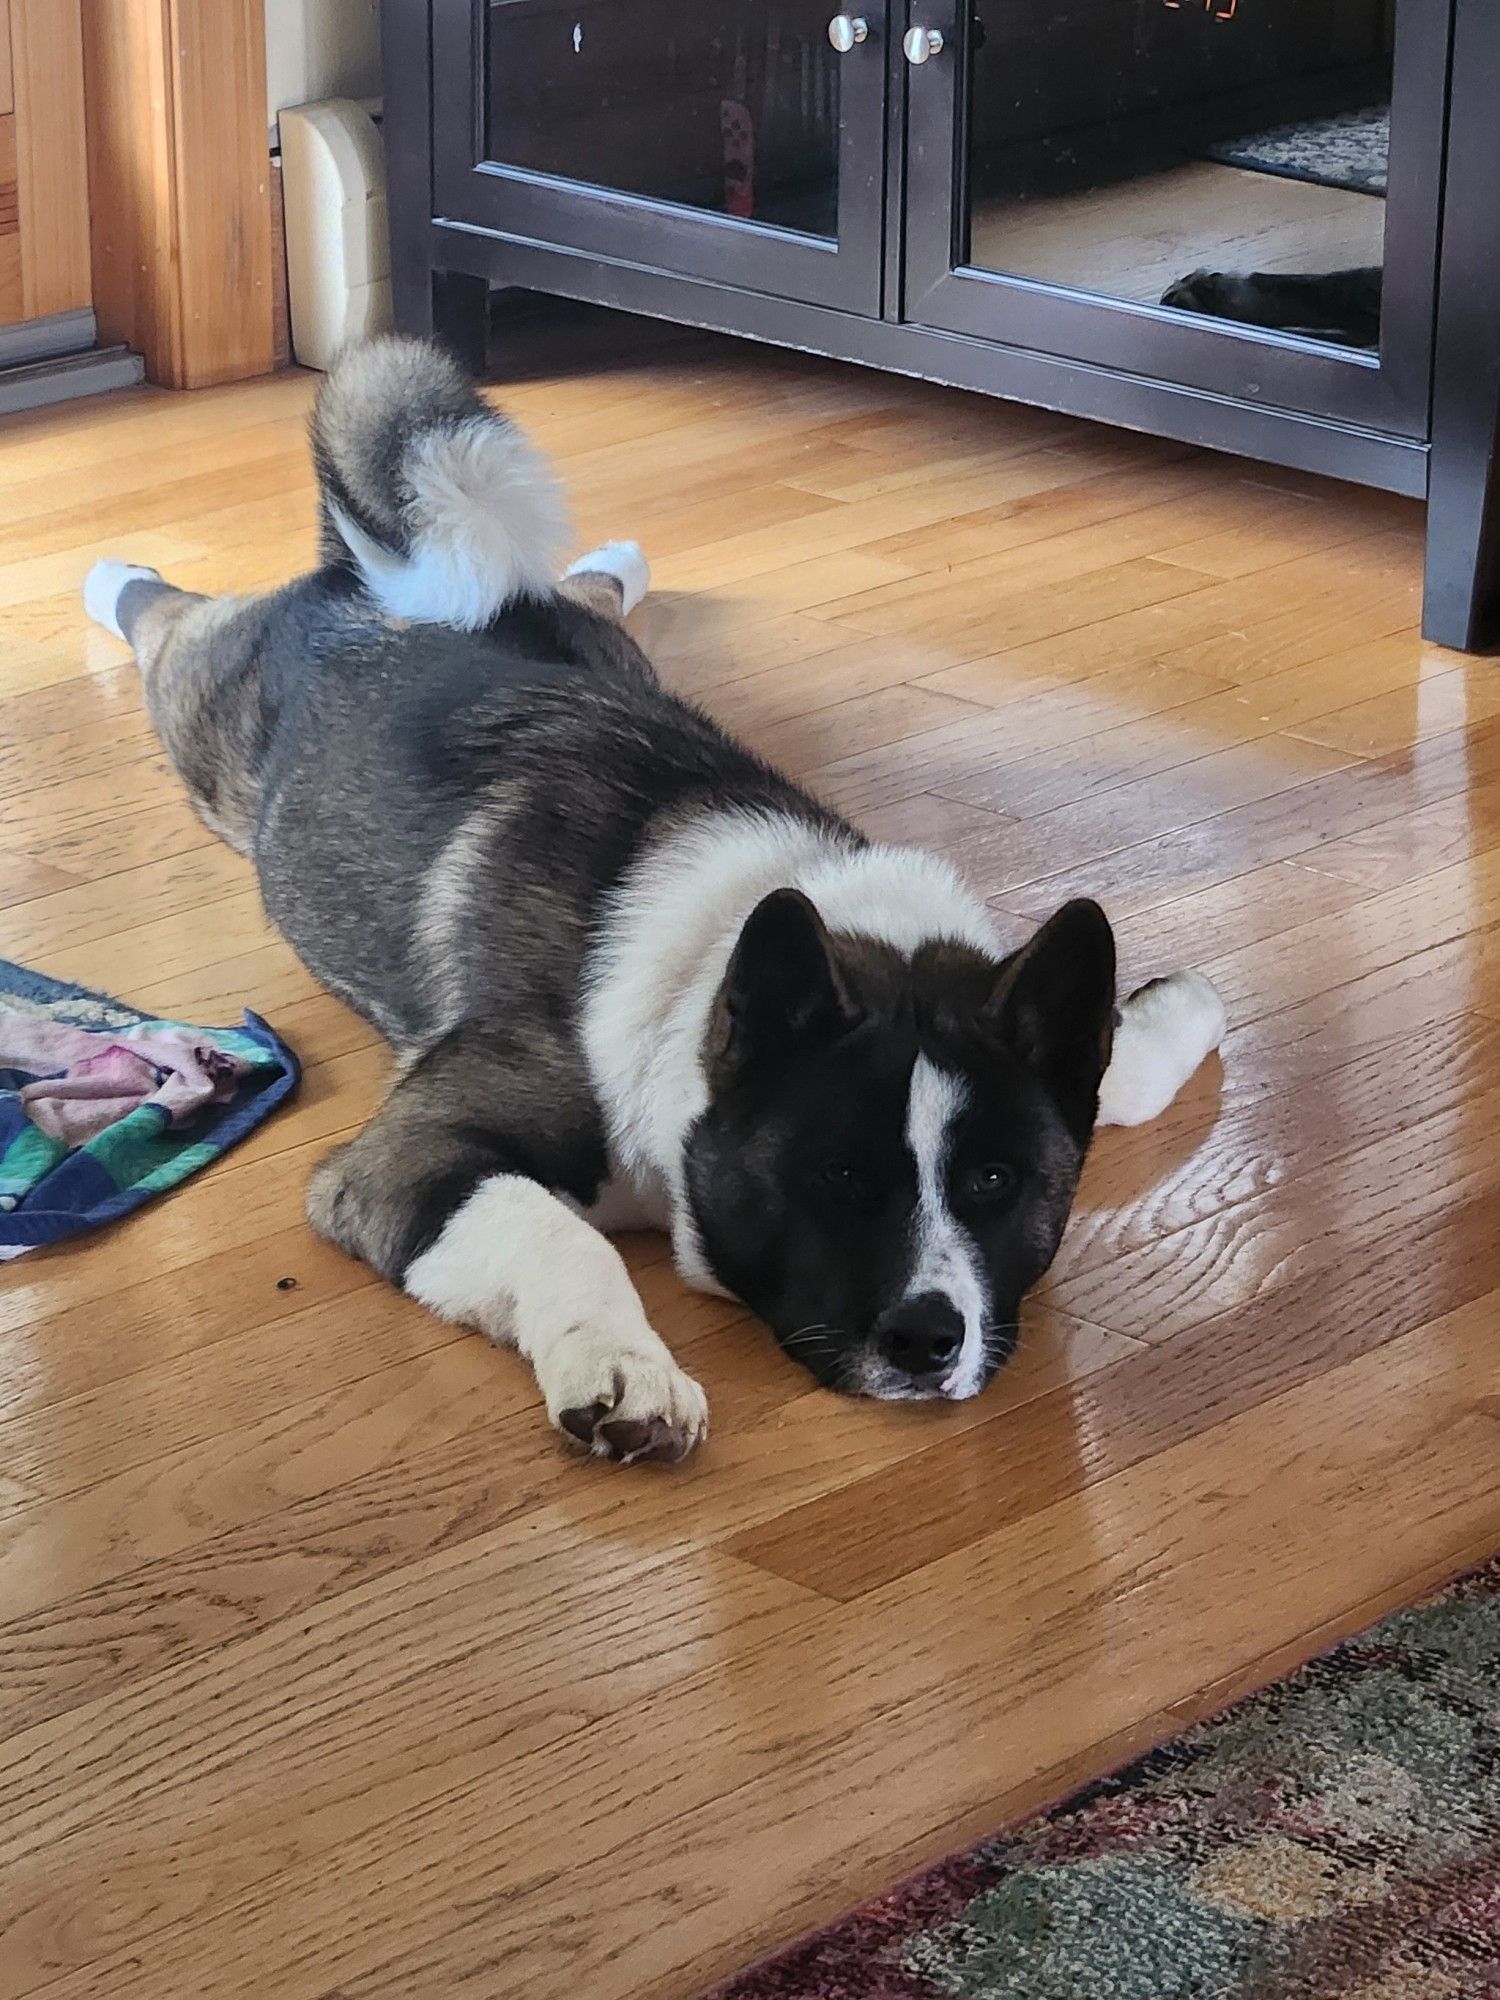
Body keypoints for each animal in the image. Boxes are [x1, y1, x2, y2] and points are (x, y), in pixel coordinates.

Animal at [82, 336, 1224, 1472]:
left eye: (995, 1183)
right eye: (837, 1175)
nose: (927, 1338)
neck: (699, 984)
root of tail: (360, 580)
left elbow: (1123, 1073)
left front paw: (1187, 1008)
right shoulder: (404, 1168)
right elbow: (559, 1232)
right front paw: (622, 1366)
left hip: (599, 642)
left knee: (584, 585)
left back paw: (619, 557)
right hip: (206, 723)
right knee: (169, 623)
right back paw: (112, 574)